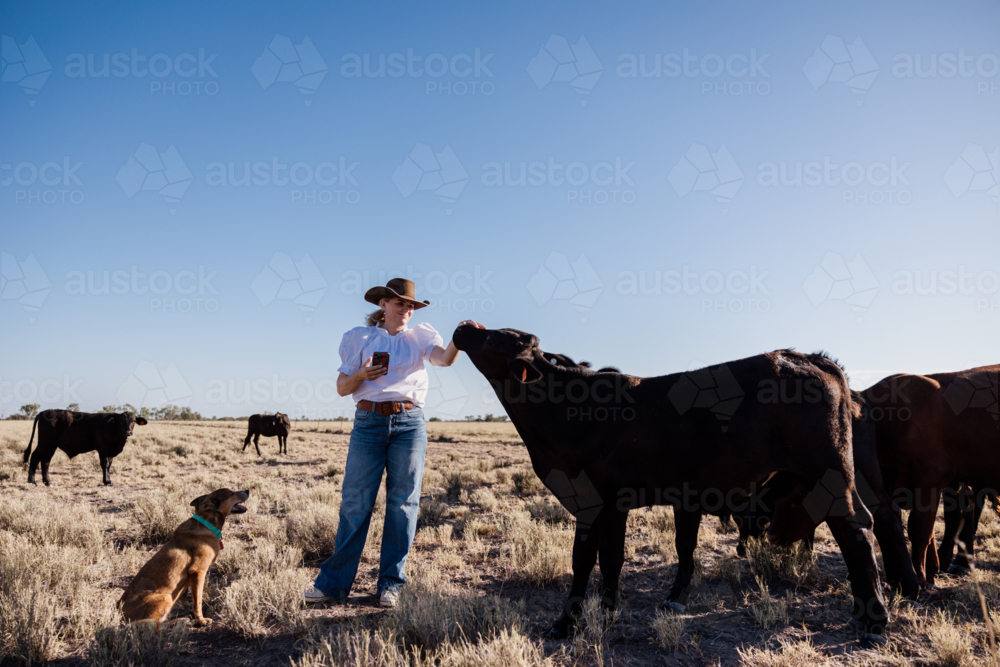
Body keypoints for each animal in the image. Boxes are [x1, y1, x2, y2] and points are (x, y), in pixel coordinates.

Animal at [119, 490, 250, 628]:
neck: (207, 524)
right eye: (231, 493)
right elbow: (197, 602)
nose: (247, 490)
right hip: (166, 597)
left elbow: (186, 599)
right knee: (156, 625)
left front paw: (191, 614)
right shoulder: (198, 572)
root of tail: (119, 615)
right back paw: (181, 621)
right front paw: (201, 620)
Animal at [456, 326, 892, 648]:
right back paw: (861, 614)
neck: (569, 413)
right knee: (845, 529)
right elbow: (584, 561)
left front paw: (604, 615)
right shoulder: (588, 503)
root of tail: (809, 357)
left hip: (829, 471)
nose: (465, 327)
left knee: (856, 526)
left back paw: (875, 621)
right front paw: (568, 621)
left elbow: (610, 559)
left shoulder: (612, 501)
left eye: (495, 339)